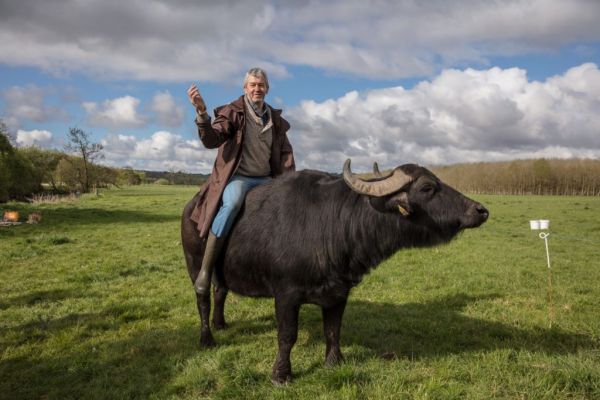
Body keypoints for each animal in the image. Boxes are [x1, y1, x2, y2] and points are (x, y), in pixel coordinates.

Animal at [180, 159, 490, 384]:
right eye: (427, 188)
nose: (481, 210)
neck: (331, 225)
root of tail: (191, 208)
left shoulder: (339, 293)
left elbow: (333, 329)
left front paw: (333, 361)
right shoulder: (286, 295)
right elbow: (287, 336)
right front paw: (281, 375)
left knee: (220, 291)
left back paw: (221, 323)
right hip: (195, 264)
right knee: (202, 295)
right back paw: (207, 338)